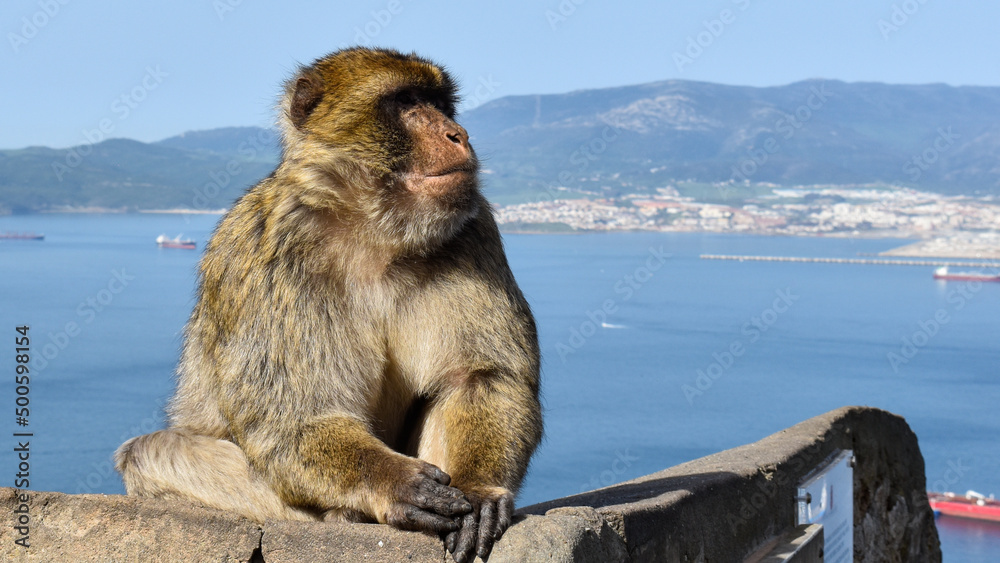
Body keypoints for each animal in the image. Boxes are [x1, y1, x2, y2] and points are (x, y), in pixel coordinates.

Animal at [114, 47, 542, 563]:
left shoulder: (473, 230)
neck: (376, 231)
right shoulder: (264, 252)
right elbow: (298, 417)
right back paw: (347, 514)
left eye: (440, 104)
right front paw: (395, 483)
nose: (457, 134)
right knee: (149, 453)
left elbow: (481, 376)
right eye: (406, 102)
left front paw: (478, 490)